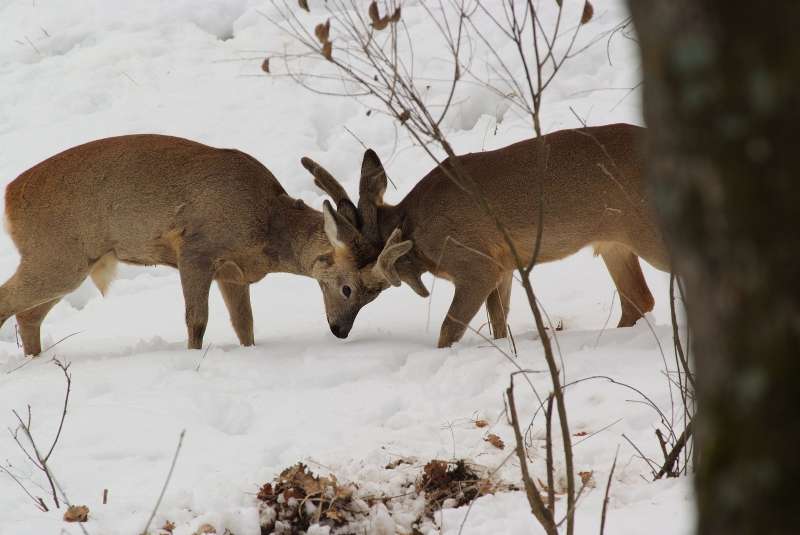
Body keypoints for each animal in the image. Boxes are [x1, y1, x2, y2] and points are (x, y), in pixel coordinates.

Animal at [1, 134, 412, 356]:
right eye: (348, 288)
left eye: (375, 295)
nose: (340, 330)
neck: (266, 226)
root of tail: (10, 197)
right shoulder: (195, 248)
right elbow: (197, 321)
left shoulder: (233, 274)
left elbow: (245, 324)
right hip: (57, 255)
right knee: (9, 301)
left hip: (69, 262)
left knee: (28, 315)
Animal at [300, 122, 668, 348]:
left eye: (351, 288)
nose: (338, 329)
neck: (415, 233)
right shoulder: (504, 266)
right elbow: (499, 322)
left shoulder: (476, 263)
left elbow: (448, 329)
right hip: (614, 243)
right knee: (638, 301)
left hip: (647, 231)